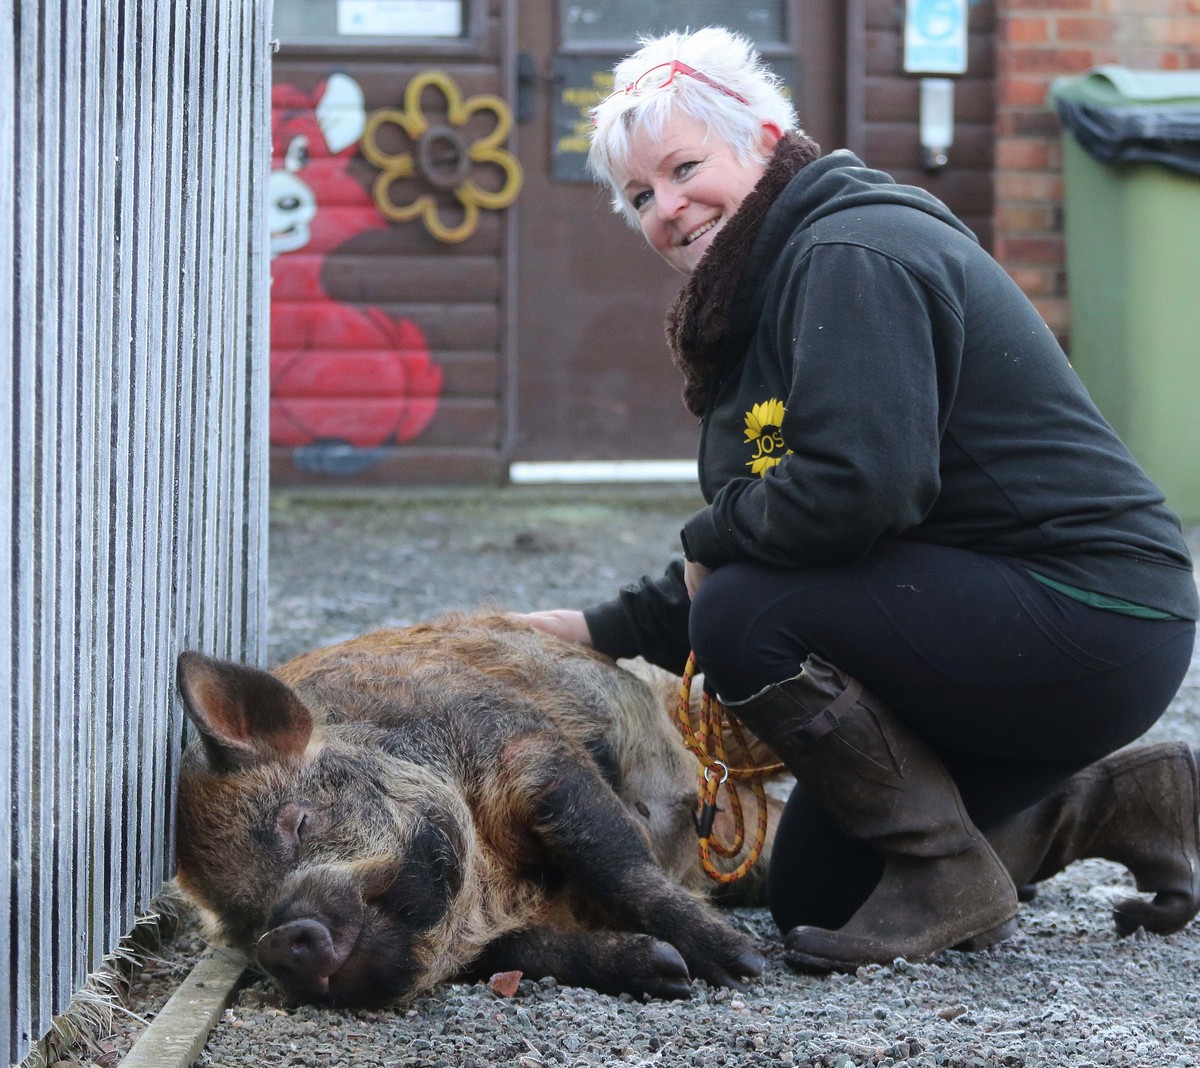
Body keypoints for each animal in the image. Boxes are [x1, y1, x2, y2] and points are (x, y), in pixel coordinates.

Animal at [174, 612, 782, 1003]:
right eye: (243, 922)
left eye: (299, 821)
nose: (278, 940)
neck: (498, 879)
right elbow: (535, 952)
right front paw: (668, 972)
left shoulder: (529, 750)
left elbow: (617, 863)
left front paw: (743, 967)